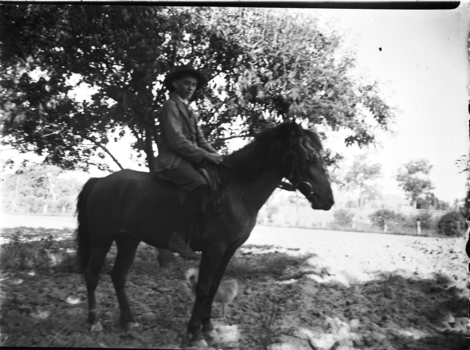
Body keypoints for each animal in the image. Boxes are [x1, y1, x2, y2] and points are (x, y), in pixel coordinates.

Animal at [76, 121, 334, 346]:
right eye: (310, 156)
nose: (328, 200)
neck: (237, 189)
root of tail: (101, 181)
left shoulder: (228, 251)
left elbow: (213, 286)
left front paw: (208, 326)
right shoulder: (213, 250)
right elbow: (202, 288)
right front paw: (195, 333)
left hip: (128, 240)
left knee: (118, 275)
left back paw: (128, 321)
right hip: (101, 239)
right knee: (92, 274)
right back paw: (94, 321)